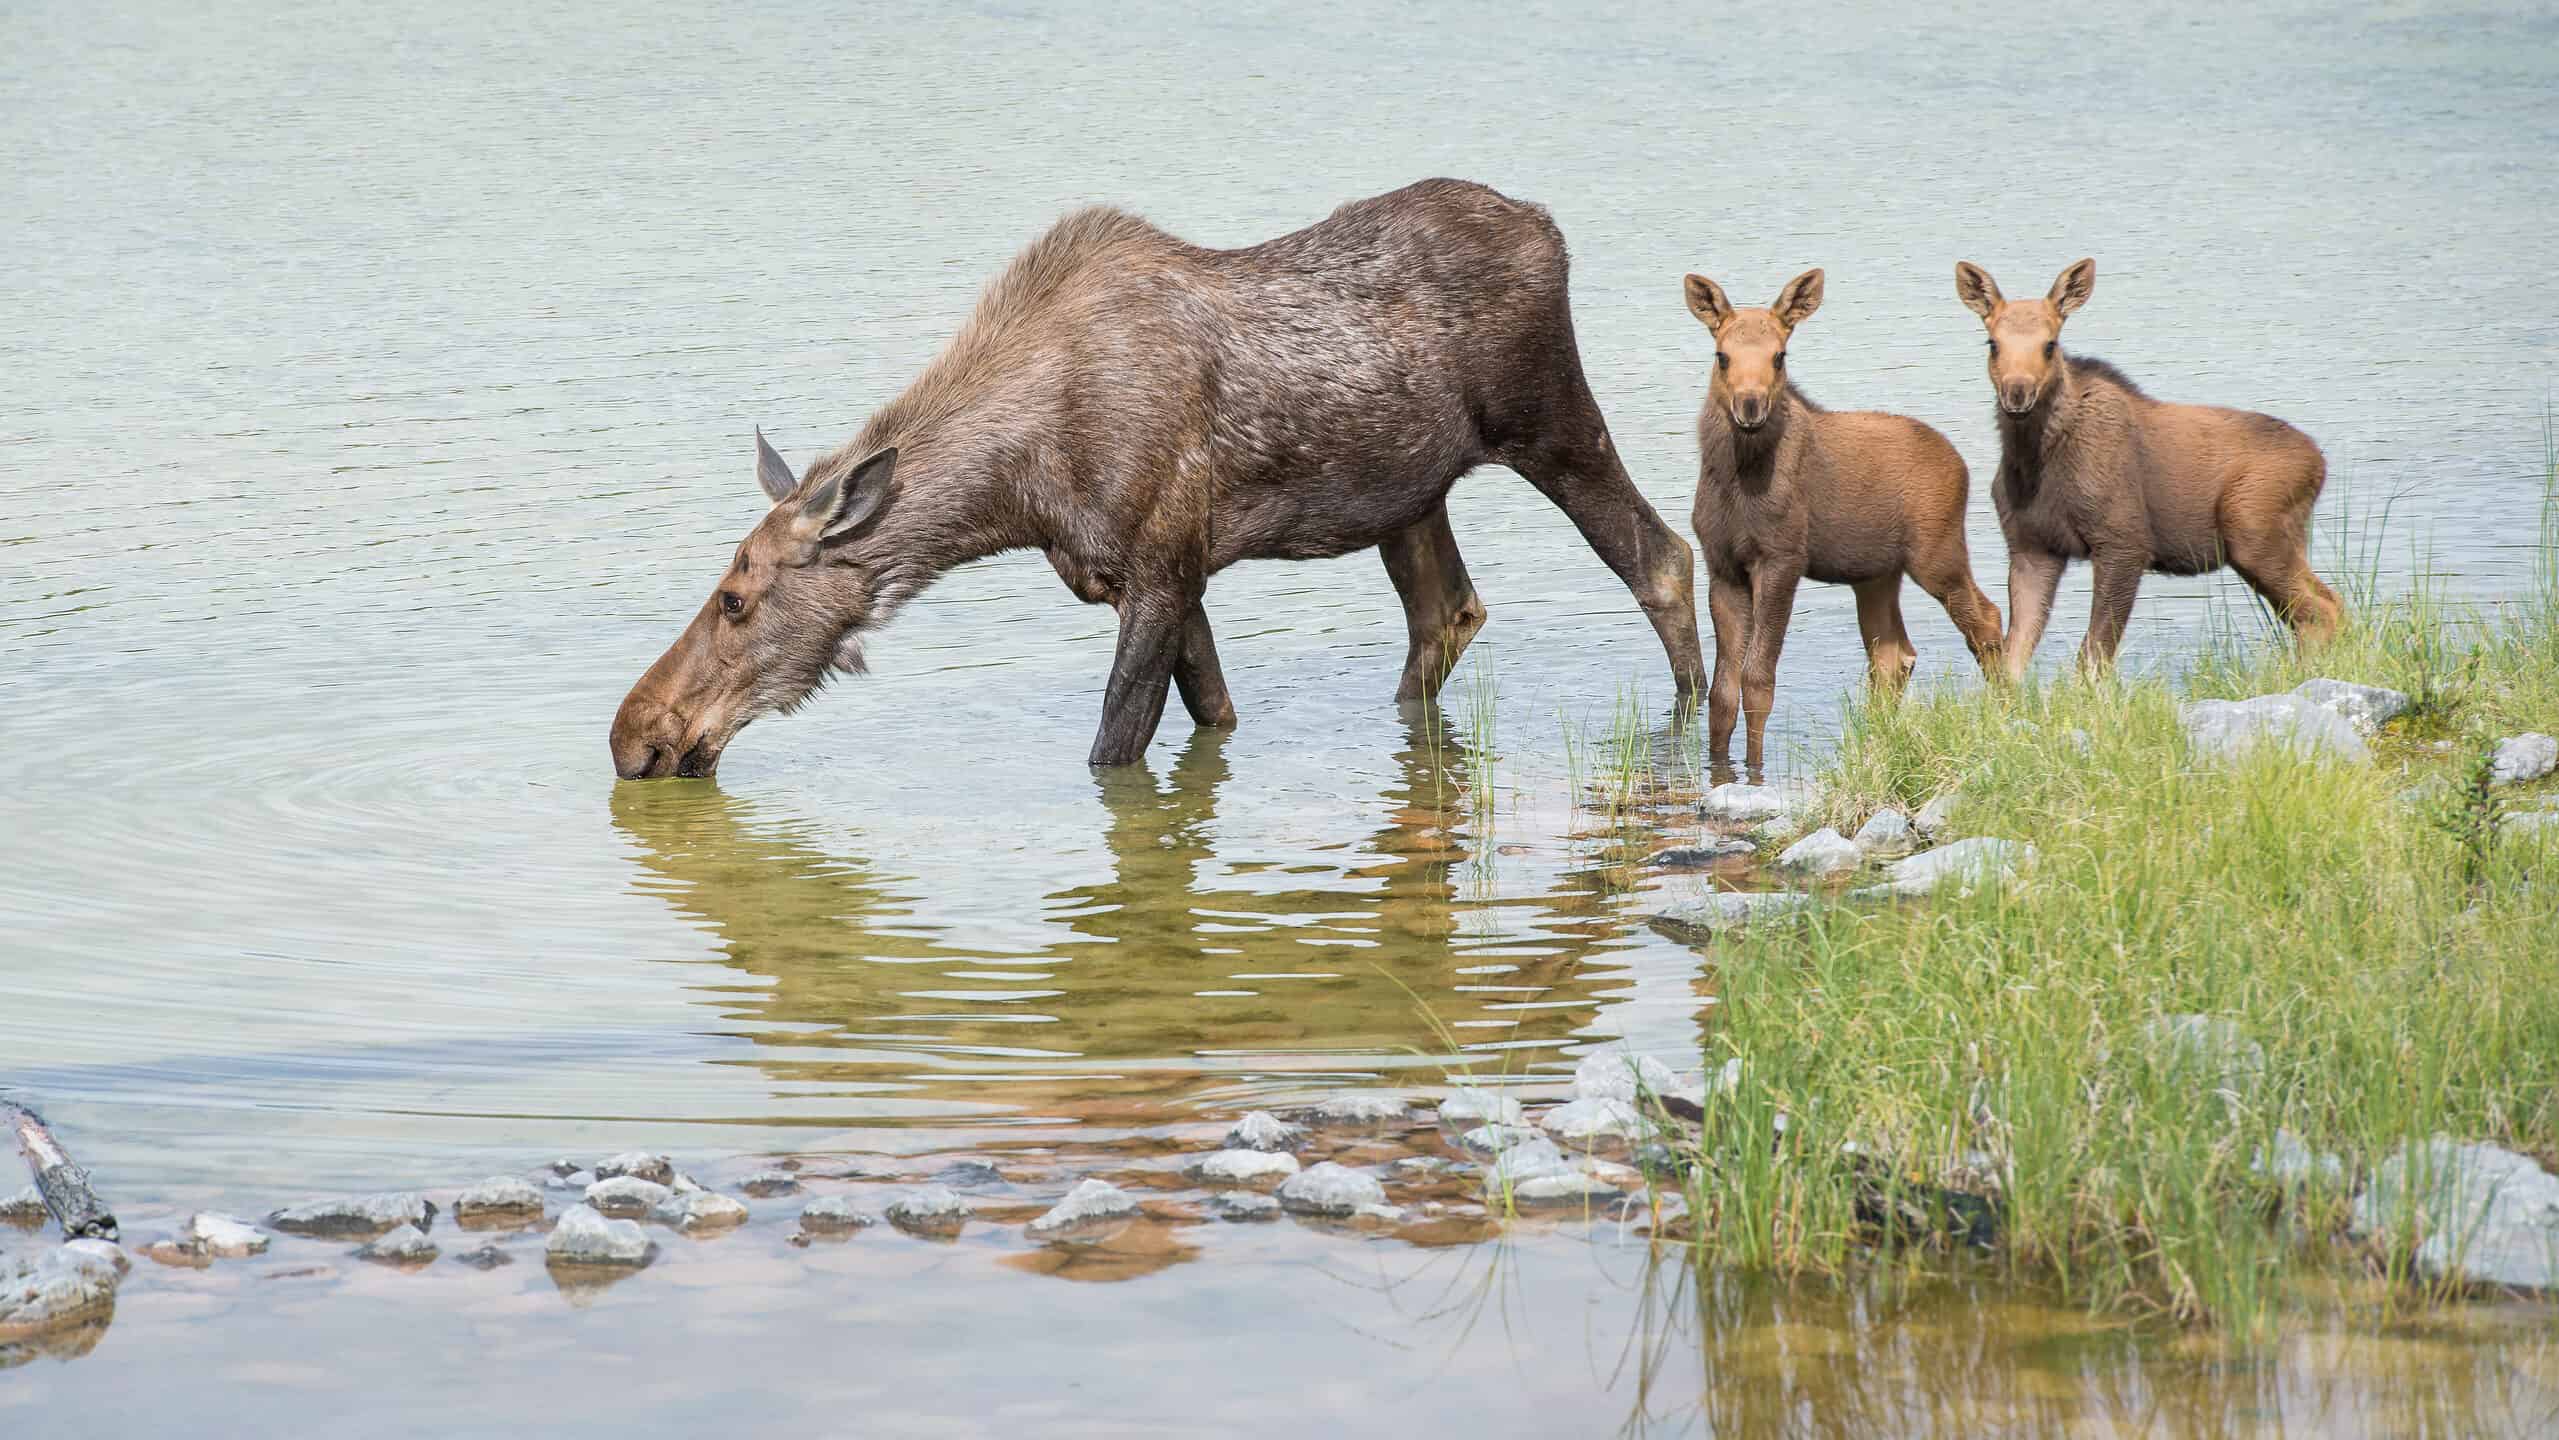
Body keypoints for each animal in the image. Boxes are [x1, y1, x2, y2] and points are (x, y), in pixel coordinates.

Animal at [609, 184, 1709, 782]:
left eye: (735, 599)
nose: (635, 736)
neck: (1014, 495)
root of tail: (1549, 228)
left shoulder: (1163, 570)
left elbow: (1113, 747)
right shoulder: (1145, 580)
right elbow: (1213, 715)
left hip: (1550, 424)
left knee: (1662, 556)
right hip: (1412, 493)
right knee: (1449, 611)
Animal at [1688, 264, 2006, 772]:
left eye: (1779, 356)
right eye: (1722, 355)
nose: (1750, 406)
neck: (1738, 478)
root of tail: (1963, 465)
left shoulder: (1783, 559)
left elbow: (1758, 680)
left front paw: (1753, 772)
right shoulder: (1722, 566)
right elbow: (1722, 692)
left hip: (1937, 554)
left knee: (1987, 620)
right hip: (1876, 573)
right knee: (1895, 655)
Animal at [1955, 259, 2344, 675]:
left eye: (2050, 344)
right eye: (1993, 343)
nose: (2017, 393)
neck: (2032, 464)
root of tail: (2319, 462)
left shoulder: (2125, 542)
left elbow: (2093, 656)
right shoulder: (2032, 547)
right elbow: (2012, 659)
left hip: (2253, 530)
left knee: (2322, 611)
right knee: (2323, 607)